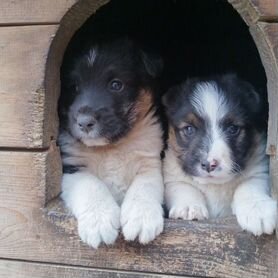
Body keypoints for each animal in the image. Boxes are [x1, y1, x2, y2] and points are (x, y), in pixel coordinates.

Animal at [57, 39, 164, 248]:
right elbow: (91, 185)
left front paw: (141, 218)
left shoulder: (150, 164)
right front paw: (99, 221)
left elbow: (144, 188)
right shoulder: (73, 168)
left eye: (116, 84)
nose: (84, 122)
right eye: (73, 87)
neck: (111, 147)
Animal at [162, 73, 276, 235]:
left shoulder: (260, 170)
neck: (215, 186)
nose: (209, 164)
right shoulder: (172, 176)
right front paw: (189, 207)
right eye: (189, 129)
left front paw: (257, 210)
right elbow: (184, 187)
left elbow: (249, 186)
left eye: (233, 129)